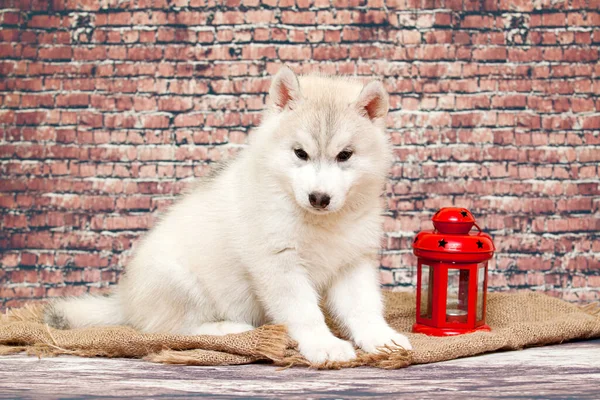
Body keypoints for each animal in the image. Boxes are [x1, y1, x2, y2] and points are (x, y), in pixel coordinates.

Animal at [45, 67, 412, 364]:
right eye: (300, 153)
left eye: (345, 155)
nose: (319, 198)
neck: (320, 223)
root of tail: (123, 299)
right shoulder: (278, 264)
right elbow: (304, 312)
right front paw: (324, 344)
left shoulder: (352, 262)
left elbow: (364, 308)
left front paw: (381, 339)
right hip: (177, 279)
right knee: (167, 330)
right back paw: (230, 329)